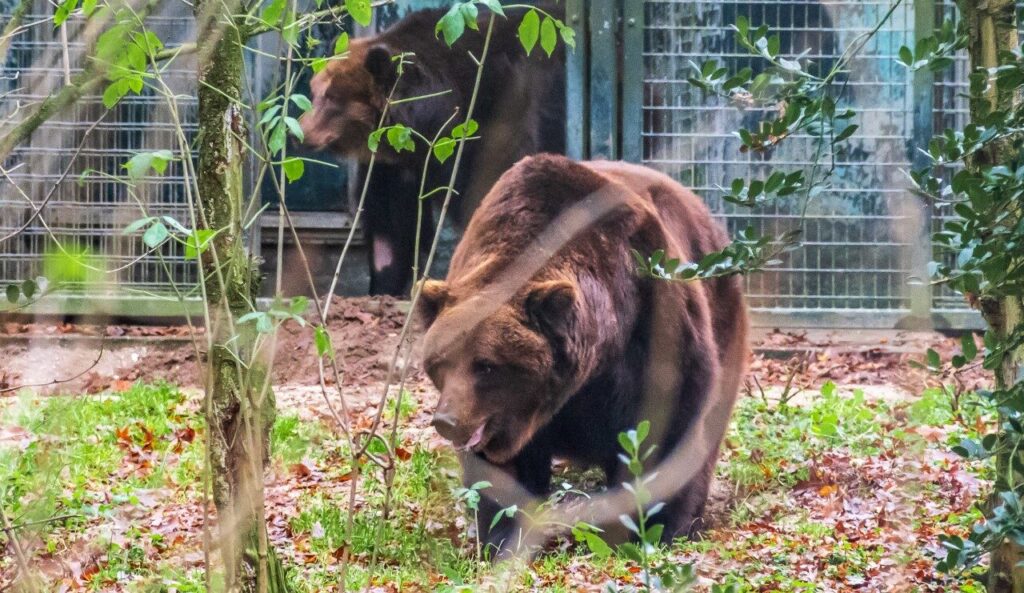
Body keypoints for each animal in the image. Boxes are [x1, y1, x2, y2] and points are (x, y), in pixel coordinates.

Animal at [296, 4, 569, 297]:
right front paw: (384, 284)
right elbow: (389, 228)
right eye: (315, 92)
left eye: (332, 97)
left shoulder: (497, 122)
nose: (297, 133)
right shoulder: (393, 166)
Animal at [415, 155, 753, 561]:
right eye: (440, 363)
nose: (446, 420)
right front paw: (500, 539)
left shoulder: (652, 323)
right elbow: (502, 476)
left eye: (486, 365)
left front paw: (658, 527)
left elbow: (668, 425)